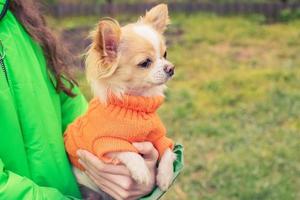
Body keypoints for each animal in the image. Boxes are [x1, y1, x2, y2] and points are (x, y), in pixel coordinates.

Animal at [63, 4, 176, 195]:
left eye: (165, 54)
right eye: (145, 63)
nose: (171, 68)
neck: (134, 104)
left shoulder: (158, 137)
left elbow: (167, 150)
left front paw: (165, 177)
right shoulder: (101, 144)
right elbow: (125, 150)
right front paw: (141, 171)